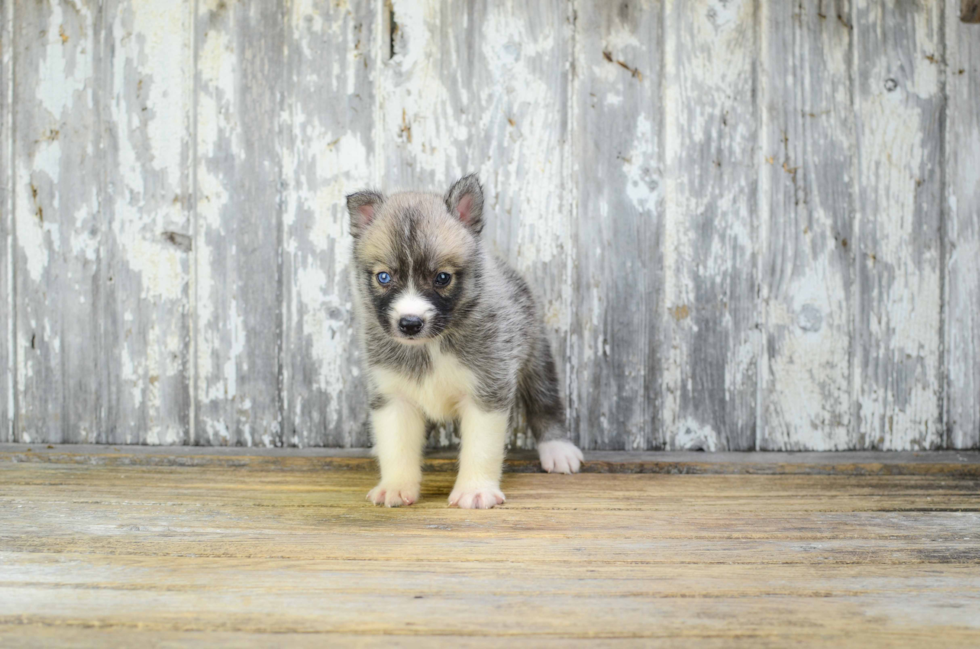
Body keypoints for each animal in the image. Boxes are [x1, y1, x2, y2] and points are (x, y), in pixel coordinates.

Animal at [348, 175, 584, 508]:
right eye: (384, 277)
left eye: (442, 277)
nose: (410, 324)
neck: (432, 345)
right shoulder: (393, 395)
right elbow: (397, 446)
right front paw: (395, 485)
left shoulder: (487, 390)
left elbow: (481, 447)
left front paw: (475, 490)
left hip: (535, 357)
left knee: (546, 402)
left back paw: (558, 449)